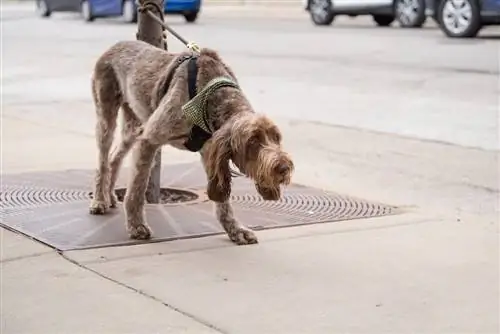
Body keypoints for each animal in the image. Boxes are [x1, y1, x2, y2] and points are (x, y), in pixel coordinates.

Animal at [89, 39, 292, 245]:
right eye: (252, 141)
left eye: (277, 137)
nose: (284, 168)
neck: (210, 97)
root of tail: (116, 45)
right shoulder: (148, 140)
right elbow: (136, 191)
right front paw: (136, 226)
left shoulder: (210, 152)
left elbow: (223, 202)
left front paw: (234, 230)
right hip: (106, 118)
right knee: (103, 162)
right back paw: (99, 200)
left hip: (134, 126)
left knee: (114, 158)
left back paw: (109, 195)